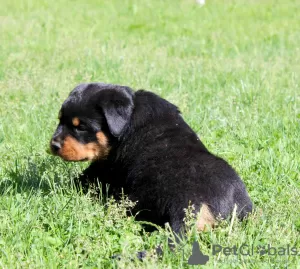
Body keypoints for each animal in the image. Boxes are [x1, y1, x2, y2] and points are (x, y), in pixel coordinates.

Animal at [50, 81, 252, 237]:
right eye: (59, 120)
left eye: (81, 127)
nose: (54, 145)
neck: (129, 117)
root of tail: (197, 205)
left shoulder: (106, 168)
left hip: (135, 198)